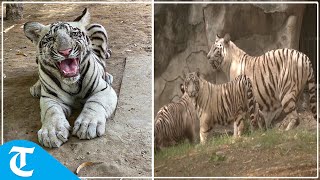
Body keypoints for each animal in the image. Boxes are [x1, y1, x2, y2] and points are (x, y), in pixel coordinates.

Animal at [23, 8, 118, 148]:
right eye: (51, 38)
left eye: (73, 34)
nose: (65, 51)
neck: (72, 84)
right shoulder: (50, 98)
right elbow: (52, 112)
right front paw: (52, 132)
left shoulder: (103, 90)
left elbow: (94, 104)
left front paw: (87, 125)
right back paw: (36, 87)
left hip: (98, 28)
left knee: (102, 59)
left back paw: (107, 76)